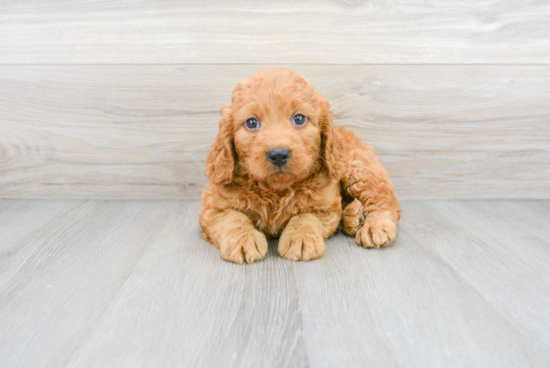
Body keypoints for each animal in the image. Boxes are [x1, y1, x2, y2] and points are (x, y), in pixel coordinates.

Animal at [199, 67, 402, 264]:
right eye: (251, 122)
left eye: (299, 119)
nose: (278, 154)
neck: (276, 191)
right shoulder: (211, 208)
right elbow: (233, 218)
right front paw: (243, 240)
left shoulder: (325, 207)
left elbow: (305, 216)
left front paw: (301, 238)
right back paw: (354, 216)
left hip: (358, 168)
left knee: (383, 199)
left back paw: (375, 226)